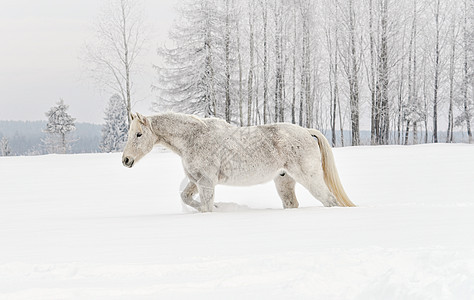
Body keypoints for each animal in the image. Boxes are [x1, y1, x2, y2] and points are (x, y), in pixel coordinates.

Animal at [122, 112, 356, 213]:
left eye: (139, 134)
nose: (126, 160)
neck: (194, 137)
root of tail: (307, 132)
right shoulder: (196, 180)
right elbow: (186, 198)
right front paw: (219, 207)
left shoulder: (206, 182)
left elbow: (206, 207)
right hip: (284, 181)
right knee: (292, 204)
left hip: (310, 178)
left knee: (329, 200)